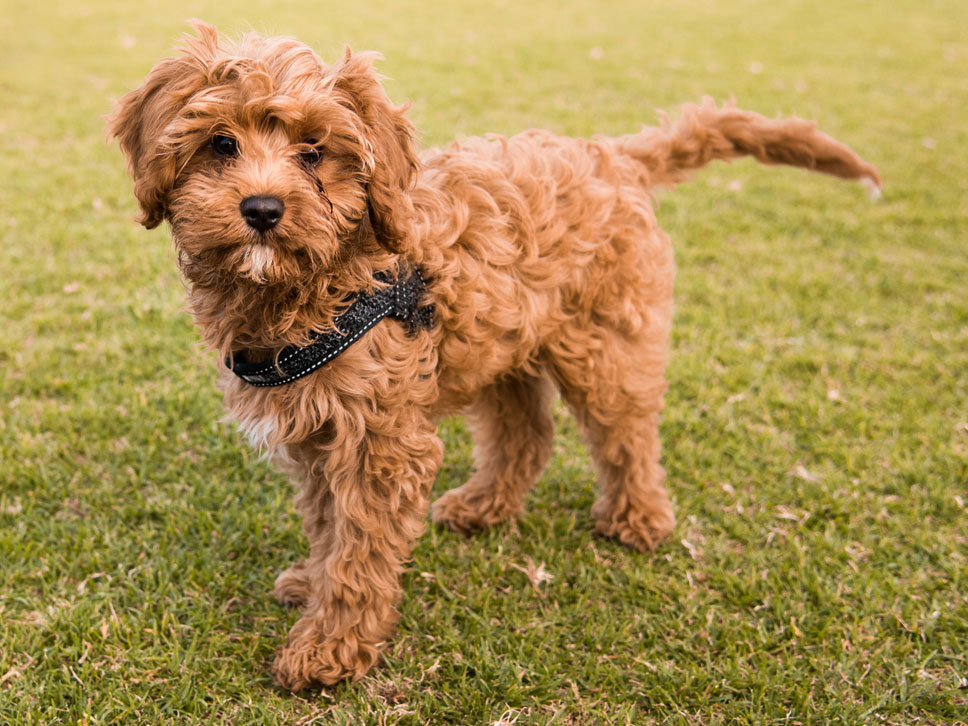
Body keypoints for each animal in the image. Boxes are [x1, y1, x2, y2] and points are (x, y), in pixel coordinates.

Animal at [108, 21, 879, 690]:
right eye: (220, 143)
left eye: (314, 151)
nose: (263, 210)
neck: (330, 281)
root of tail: (614, 155)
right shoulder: (318, 426)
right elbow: (330, 525)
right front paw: (313, 585)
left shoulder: (380, 439)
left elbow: (360, 548)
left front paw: (330, 650)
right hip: (504, 343)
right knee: (526, 434)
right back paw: (485, 507)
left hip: (604, 339)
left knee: (627, 432)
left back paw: (638, 520)